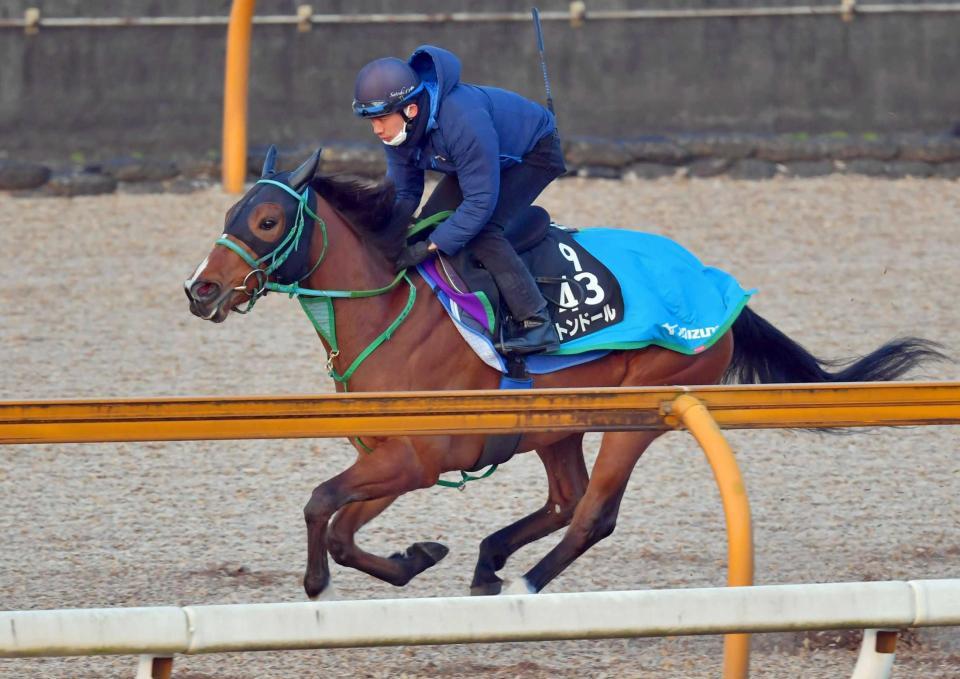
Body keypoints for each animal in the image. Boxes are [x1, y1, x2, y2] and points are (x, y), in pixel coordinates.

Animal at [184, 149, 940, 600]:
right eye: (228, 213)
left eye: (267, 219)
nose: (200, 290)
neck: (390, 307)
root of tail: (714, 282)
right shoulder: (395, 456)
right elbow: (342, 527)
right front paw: (418, 555)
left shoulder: (418, 456)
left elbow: (320, 504)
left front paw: (320, 579)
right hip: (557, 421)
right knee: (564, 498)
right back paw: (489, 560)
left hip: (640, 411)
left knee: (592, 512)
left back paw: (524, 581)